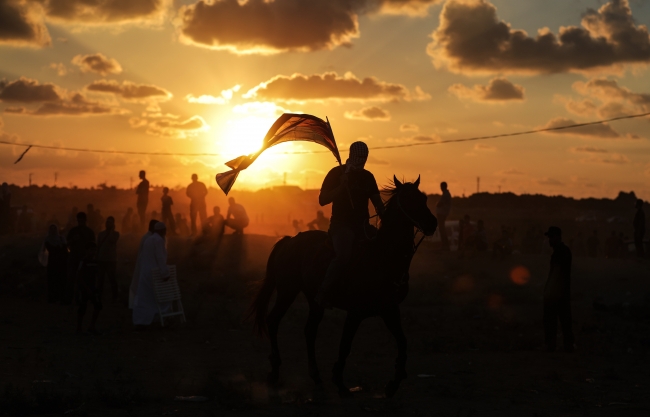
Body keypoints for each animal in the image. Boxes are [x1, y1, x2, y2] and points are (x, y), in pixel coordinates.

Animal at [248, 176, 436, 396]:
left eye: (423, 198)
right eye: (408, 199)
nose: (432, 223)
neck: (382, 258)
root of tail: (289, 240)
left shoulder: (389, 310)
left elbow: (402, 342)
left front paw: (394, 383)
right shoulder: (355, 312)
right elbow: (345, 345)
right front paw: (339, 381)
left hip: (314, 299)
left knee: (309, 330)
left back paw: (316, 378)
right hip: (287, 291)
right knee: (273, 321)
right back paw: (275, 371)